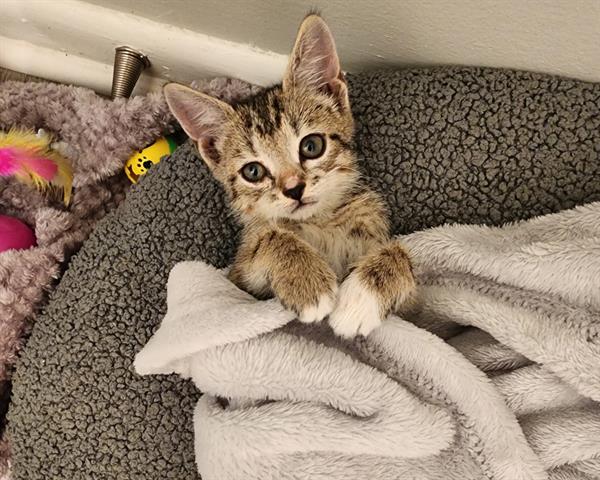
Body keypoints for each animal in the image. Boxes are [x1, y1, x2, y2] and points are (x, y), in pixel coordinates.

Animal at [164, 14, 418, 338]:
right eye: (253, 171)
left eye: (311, 146)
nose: (294, 189)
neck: (320, 222)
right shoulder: (238, 282)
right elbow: (269, 238)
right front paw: (307, 281)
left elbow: (401, 253)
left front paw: (362, 297)